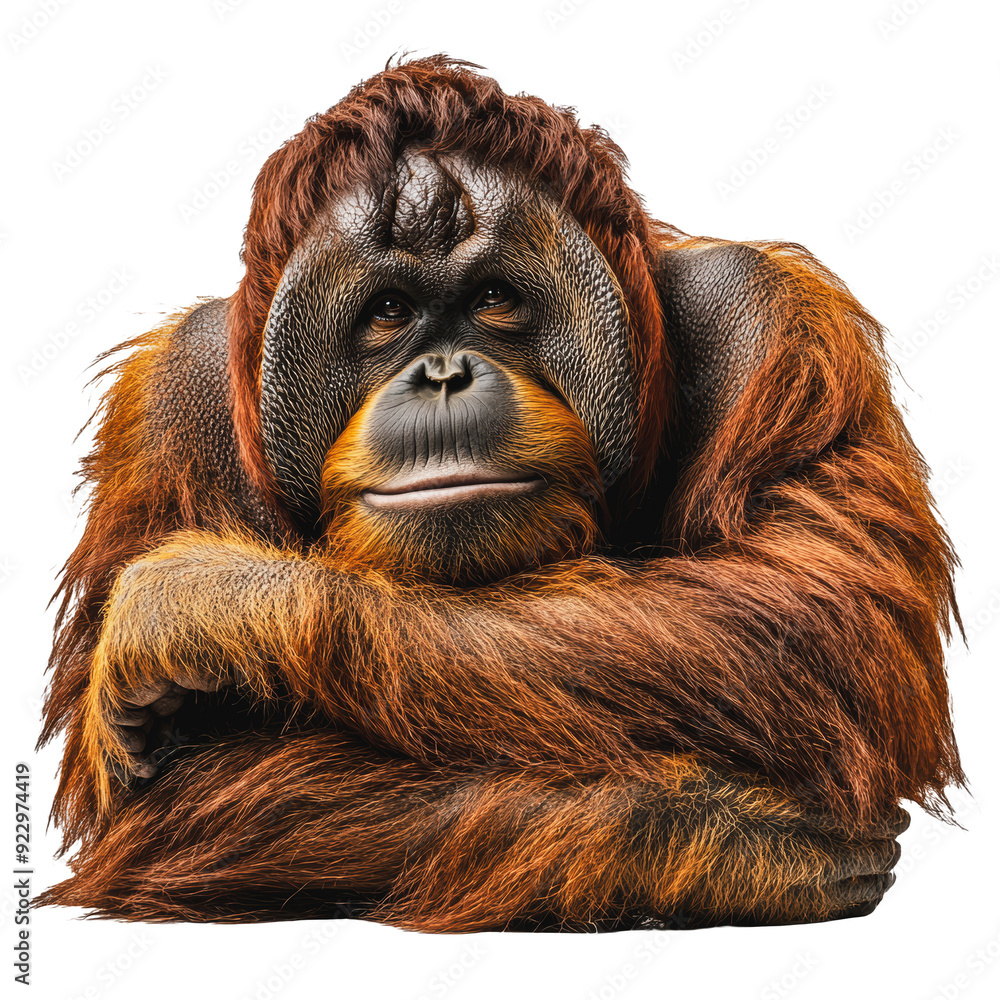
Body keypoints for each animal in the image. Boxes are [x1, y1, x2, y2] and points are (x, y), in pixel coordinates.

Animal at [38, 55, 963, 932]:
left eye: (492, 298)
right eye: (388, 310)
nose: (445, 372)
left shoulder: (771, 321)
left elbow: (817, 622)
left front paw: (215, 602)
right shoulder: (175, 398)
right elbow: (172, 800)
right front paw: (727, 835)